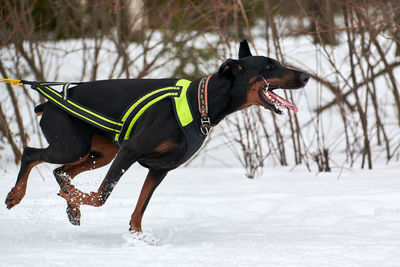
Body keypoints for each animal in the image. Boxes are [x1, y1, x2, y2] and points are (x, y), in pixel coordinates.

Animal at [4, 40, 310, 234]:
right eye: (269, 66)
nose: (306, 76)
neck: (201, 103)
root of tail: (47, 104)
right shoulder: (130, 151)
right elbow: (102, 195)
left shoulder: (160, 169)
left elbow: (141, 207)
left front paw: (137, 236)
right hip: (72, 144)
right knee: (32, 153)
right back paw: (17, 196)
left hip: (100, 153)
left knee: (61, 172)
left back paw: (72, 208)